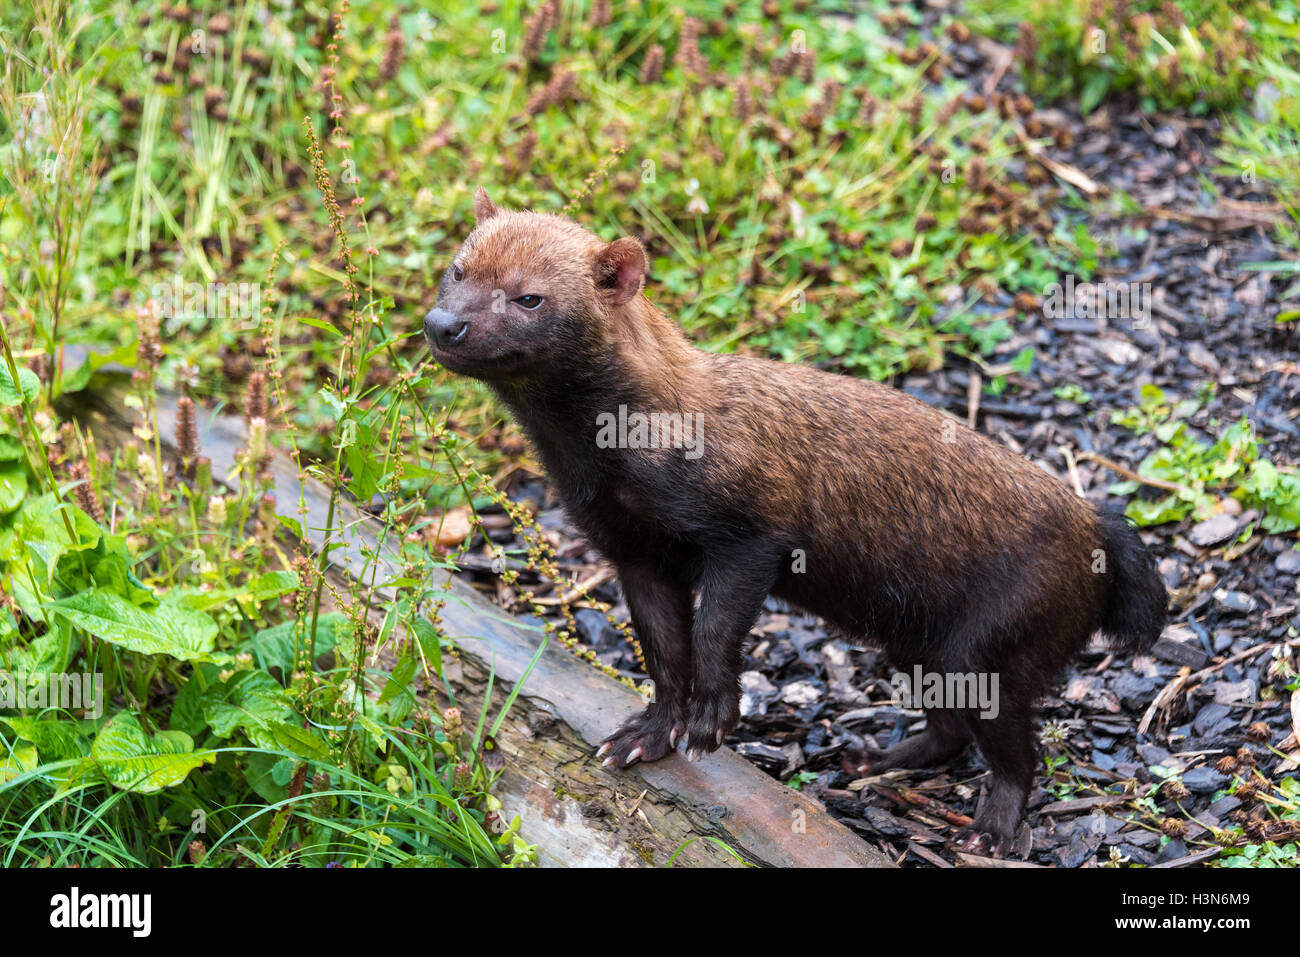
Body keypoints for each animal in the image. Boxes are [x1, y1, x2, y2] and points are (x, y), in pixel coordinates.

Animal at [428, 188, 1170, 852]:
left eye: (529, 296)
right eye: (458, 269)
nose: (442, 324)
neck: (610, 460)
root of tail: (1096, 524)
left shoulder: (751, 530)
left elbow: (715, 627)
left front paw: (711, 720)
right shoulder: (629, 549)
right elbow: (662, 648)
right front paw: (644, 734)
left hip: (995, 637)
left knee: (1015, 743)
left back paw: (989, 827)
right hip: (917, 639)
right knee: (951, 723)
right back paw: (877, 759)